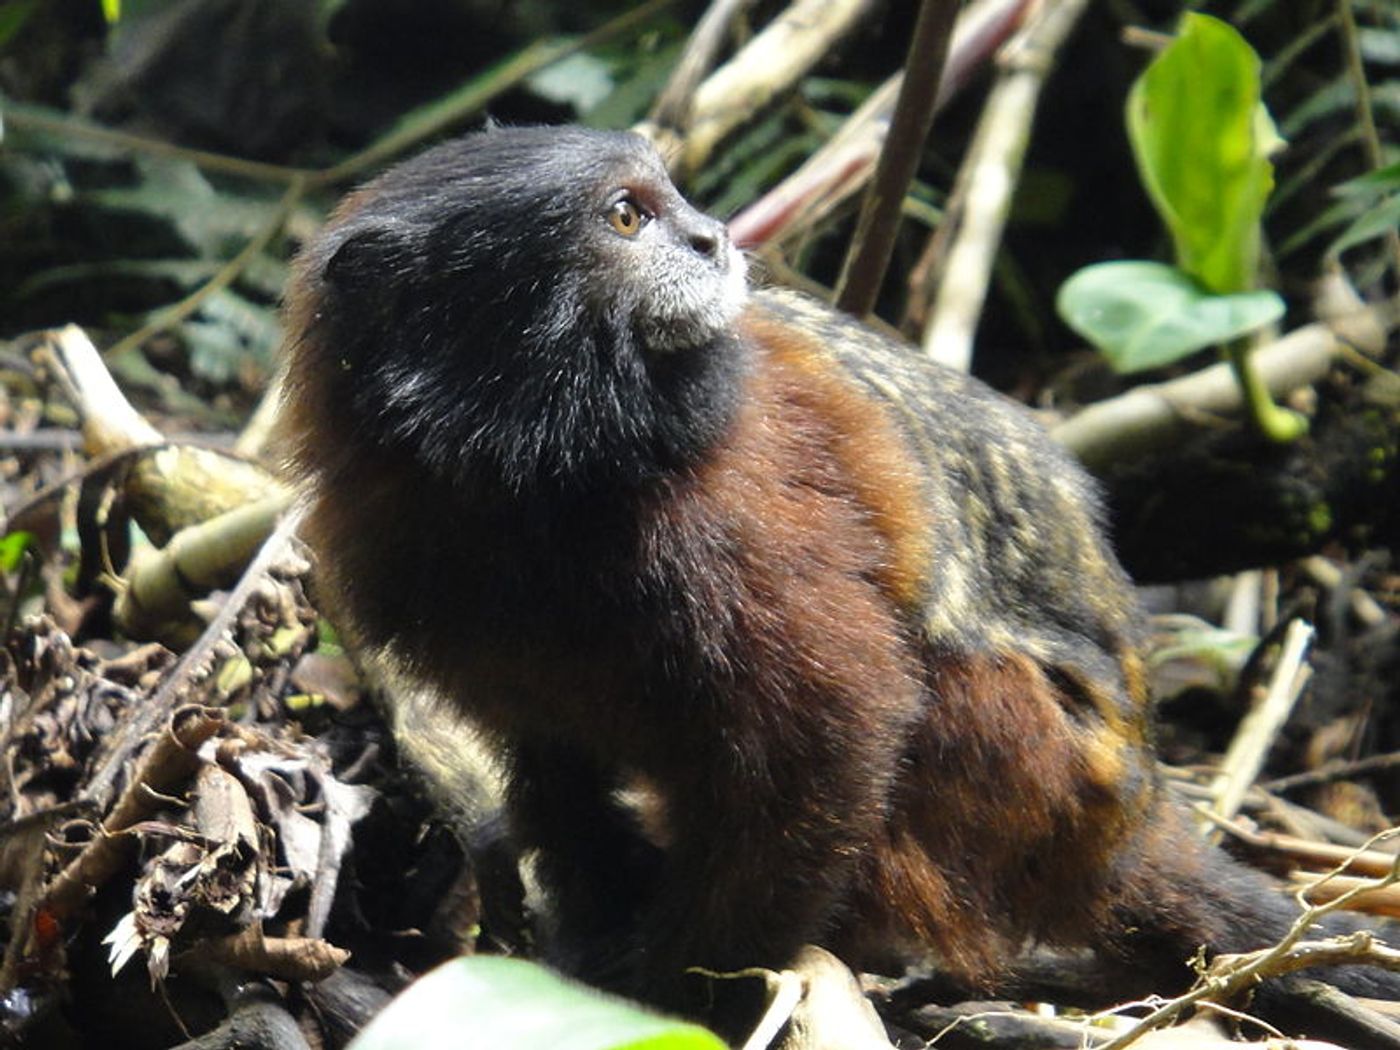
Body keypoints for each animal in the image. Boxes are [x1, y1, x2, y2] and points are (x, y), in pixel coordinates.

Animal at [273, 123, 1388, 1019]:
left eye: (667, 200)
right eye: (628, 217)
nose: (713, 237)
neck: (535, 483)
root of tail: (1131, 810)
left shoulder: (745, 521)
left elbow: (829, 737)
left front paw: (685, 989)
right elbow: (554, 758)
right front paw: (590, 939)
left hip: (1034, 772)